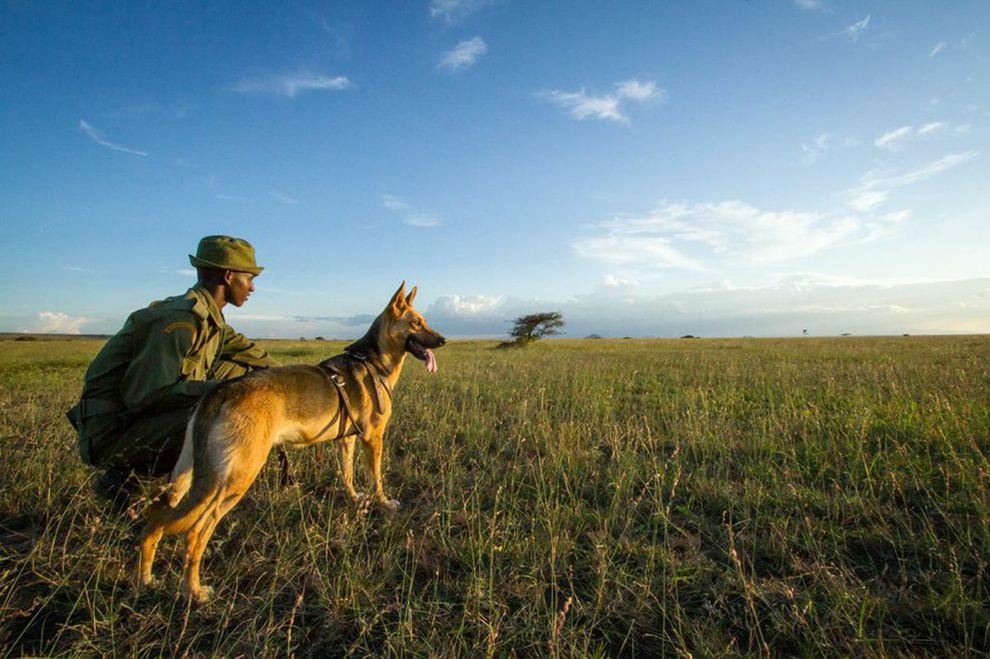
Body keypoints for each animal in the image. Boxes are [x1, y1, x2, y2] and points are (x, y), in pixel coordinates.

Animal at [138, 282, 448, 600]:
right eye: (416, 323)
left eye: (424, 321)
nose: (443, 340)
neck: (374, 360)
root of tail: (218, 393)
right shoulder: (373, 439)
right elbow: (377, 479)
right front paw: (384, 503)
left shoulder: (347, 440)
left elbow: (348, 474)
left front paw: (354, 499)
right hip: (235, 479)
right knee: (195, 532)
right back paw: (194, 591)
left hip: (187, 476)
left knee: (157, 520)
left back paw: (145, 580)